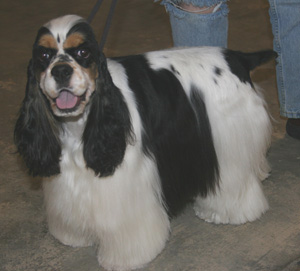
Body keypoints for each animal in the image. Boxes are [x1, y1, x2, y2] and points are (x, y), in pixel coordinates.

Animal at [14, 14, 276, 271]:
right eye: (43, 55)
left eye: (83, 52)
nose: (60, 71)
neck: (81, 124)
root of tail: (236, 57)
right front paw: (74, 236)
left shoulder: (124, 180)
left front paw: (125, 259)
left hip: (227, 140)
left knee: (235, 179)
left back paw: (228, 212)